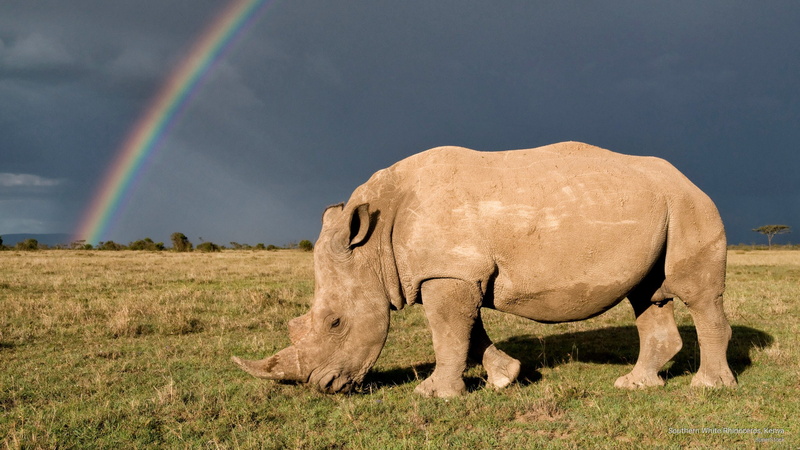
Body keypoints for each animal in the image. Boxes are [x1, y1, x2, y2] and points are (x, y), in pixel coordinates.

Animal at [232, 141, 737, 397]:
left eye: (336, 323)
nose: (323, 387)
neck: (372, 244)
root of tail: (691, 180)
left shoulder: (447, 271)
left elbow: (448, 333)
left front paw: (432, 395)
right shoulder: (454, 271)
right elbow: (468, 333)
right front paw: (504, 377)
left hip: (690, 205)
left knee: (697, 294)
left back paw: (709, 388)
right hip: (661, 207)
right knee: (648, 294)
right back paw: (635, 385)